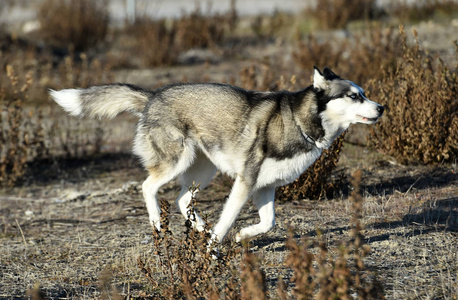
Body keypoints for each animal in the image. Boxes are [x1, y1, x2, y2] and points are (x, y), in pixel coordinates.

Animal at [50, 67, 382, 243]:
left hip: (203, 170)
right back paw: (158, 223)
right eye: (354, 96)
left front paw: (242, 235)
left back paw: (200, 227)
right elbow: (227, 221)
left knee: (182, 200)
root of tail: (154, 95)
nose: (381, 108)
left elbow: (268, 223)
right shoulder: (245, 183)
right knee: (148, 187)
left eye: (365, 93)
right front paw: (214, 250)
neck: (300, 122)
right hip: (177, 161)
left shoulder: (264, 188)